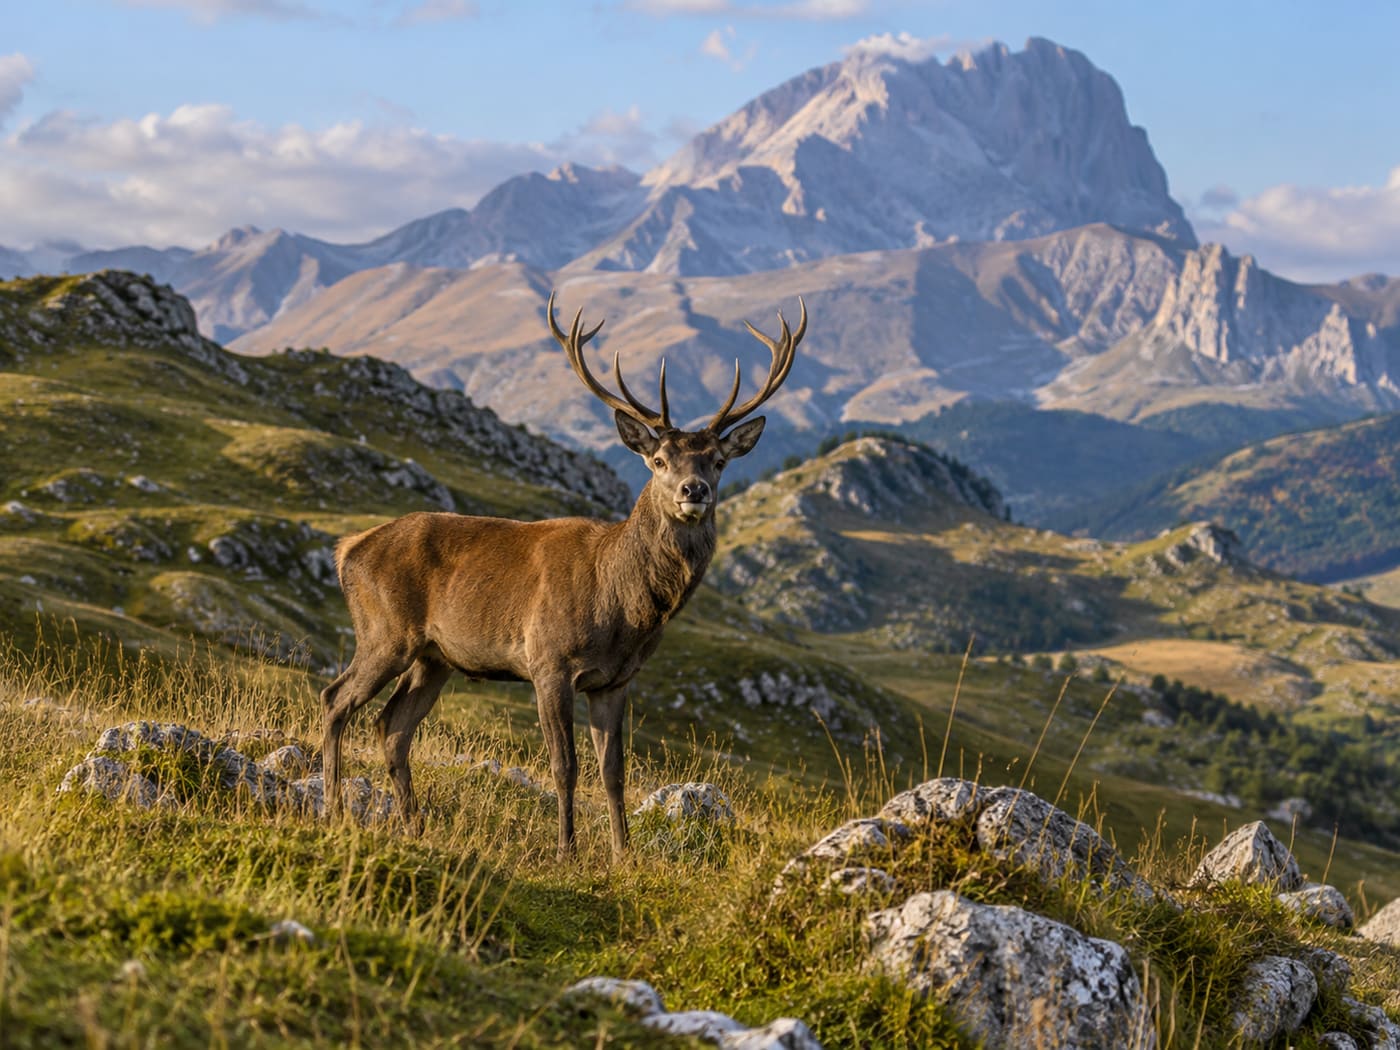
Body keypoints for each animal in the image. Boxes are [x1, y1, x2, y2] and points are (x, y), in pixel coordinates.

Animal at [319, 291, 804, 858]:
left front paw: (623, 855)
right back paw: (333, 809)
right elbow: (565, 766)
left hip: (434, 657)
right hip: (385, 631)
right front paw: (567, 852)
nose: (694, 491)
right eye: (659, 460)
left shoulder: (616, 680)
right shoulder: (548, 661)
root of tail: (347, 550)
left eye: (719, 462)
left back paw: (412, 825)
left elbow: (614, 771)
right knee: (336, 699)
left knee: (391, 726)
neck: (623, 607)